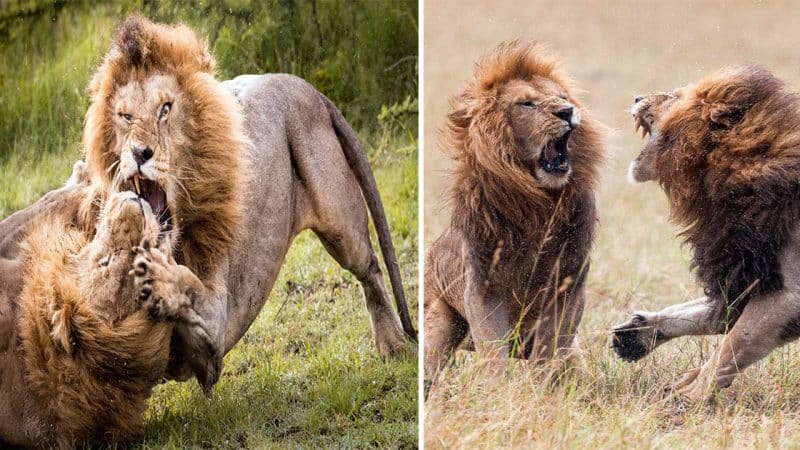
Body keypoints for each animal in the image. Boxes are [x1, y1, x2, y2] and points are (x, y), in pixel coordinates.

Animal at [424, 41, 600, 380]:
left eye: (562, 97)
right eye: (527, 104)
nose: (567, 112)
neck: (539, 205)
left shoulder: (569, 287)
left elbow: (550, 351)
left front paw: (540, 387)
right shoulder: (483, 289)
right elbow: (493, 353)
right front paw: (497, 389)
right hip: (439, 322)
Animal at [608, 65, 800, 402]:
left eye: (674, 96)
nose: (638, 97)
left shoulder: (788, 295)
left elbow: (732, 344)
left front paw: (689, 397)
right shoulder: (744, 271)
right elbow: (703, 315)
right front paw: (639, 334)